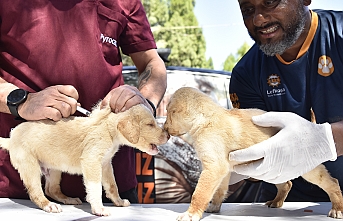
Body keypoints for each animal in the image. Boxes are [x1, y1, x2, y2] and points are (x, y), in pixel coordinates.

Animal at [0, 103, 169, 216]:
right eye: (150, 124)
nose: (168, 135)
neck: (108, 128)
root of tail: (11, 138)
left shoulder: (106, 164)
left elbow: (112, 186)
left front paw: (119, 202)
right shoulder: (92, 161)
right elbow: (95, 188)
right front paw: (99, 209)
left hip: (54, 169)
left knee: (51, 189)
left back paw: (68, 199)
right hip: (30, 167)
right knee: (36, 192)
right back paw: (49, 206)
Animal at [164, 87, 343, 220]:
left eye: (168, 113)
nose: (164, 129)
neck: (205, 118)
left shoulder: (213, 168)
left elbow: (199, 193)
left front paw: (191, 214)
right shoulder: (223, 170)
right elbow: (219, 191)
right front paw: (214, 206)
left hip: (308, 169)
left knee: (332, 182)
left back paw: (337, 209)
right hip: (274, 169)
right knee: (286, 184)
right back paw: (276, 202)